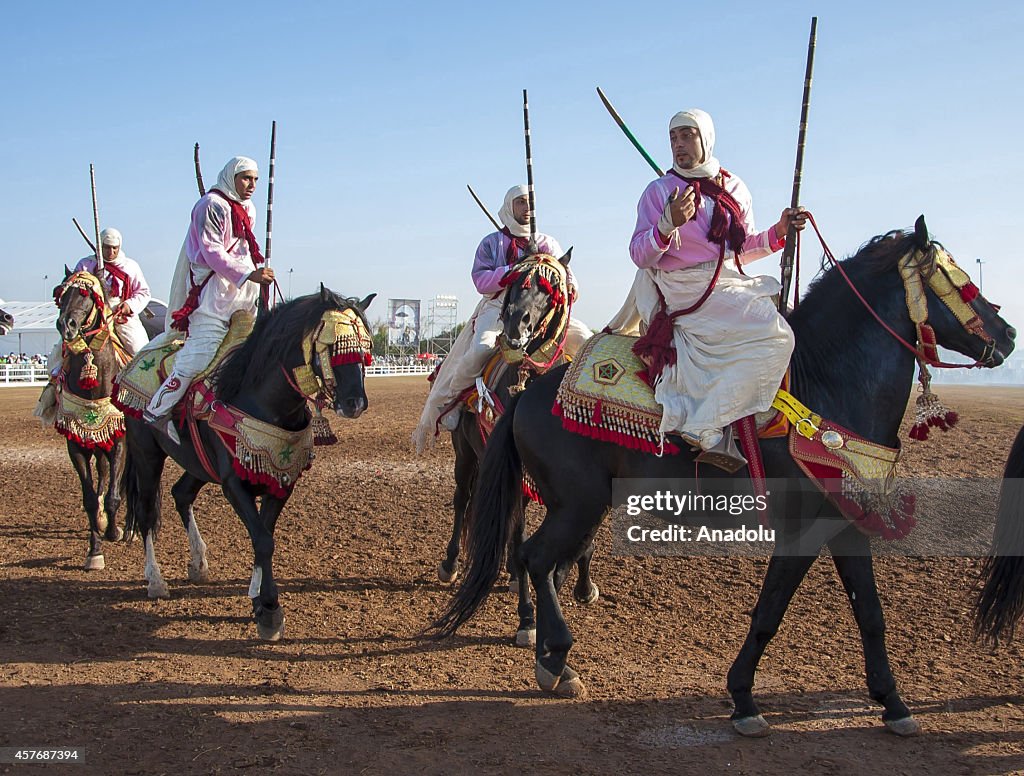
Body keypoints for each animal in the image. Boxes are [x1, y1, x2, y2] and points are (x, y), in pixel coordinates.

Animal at [53, 274, 128, 573]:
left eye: (86, 296)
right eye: (62, 296)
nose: (66, 325)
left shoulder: (119, 441)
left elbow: (114, 496)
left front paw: (114, 531)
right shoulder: (77, 445)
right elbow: (89, 500)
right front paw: (95, 550)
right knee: (103, 475)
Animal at [122, 288, 374, 642]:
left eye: (365, 348)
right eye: (331, 346)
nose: (355, 403)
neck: (261, 401)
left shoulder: (280, 479)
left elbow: (263, 537)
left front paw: (260, 603)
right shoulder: (233, 484)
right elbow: (263, 540)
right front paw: (269, 610)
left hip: (197, 465)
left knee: (181, 494)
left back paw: (198, 563)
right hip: (147, 455)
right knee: (146, 512)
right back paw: (155, 580)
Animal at [436, 251, 598, 647]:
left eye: (550, 288)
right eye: (513, 282)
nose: (515, 322)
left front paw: (584, 586)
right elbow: (523, 538)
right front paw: (527, 618)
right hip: (465, 457)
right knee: (463, 501)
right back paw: (451, 564)